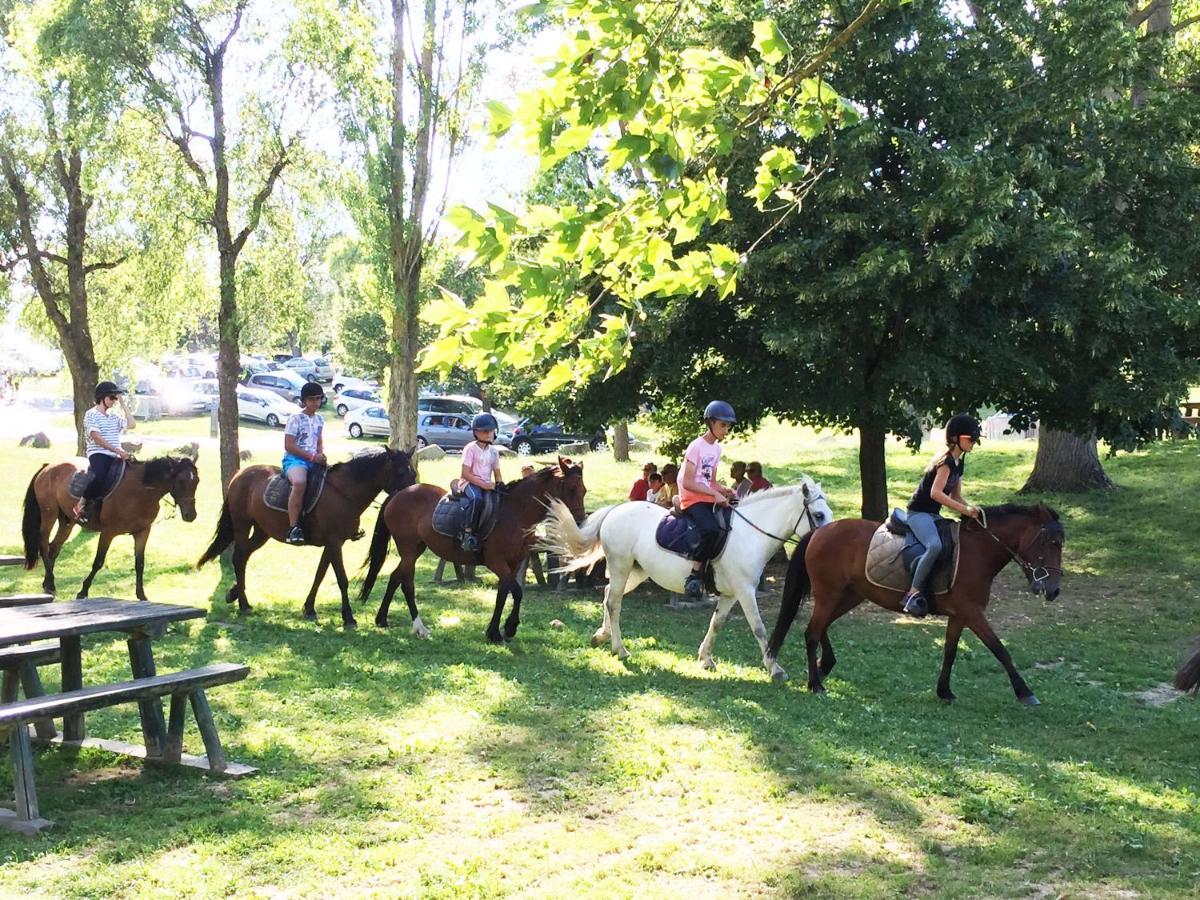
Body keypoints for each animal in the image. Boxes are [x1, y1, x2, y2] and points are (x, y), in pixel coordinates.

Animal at [22, 453, 200, 602]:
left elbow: (140, 563)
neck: (140, 491)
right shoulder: (108, 532)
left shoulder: (142, 532)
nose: (190, 515)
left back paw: (48, 583)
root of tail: (48, 467)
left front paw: (141, 595)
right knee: (44, 544)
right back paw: (51, 583)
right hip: (49, 514)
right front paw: (83, 591)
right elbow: (98, 562)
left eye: (197, 481)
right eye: (181, 481)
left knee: (54, 548)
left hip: (67, 521)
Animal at [198, 448, 417, 628]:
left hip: (262, 532)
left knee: (243, 557)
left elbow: (319, 575)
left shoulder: (333, 543)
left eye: (413, 472)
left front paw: (309, 608)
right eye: (400, 472)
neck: (344, 492)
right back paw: (243, 603)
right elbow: (342, 579)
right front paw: (348, 618)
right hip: (243, 525)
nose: (410, 497)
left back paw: (236, 595)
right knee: (238, 558)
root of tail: (239, 474)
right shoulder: (334, 542)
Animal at [357, 460, 588, 643]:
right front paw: (508, 628)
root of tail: (398, 494)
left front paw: (496, 631)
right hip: (408, 549)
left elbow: (504, 594)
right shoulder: (497, 562)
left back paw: (382, 619)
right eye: (571, 488)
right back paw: (419, 627)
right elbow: (516, 591)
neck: (516, 513)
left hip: (416, 548)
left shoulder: (513, 563)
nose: (580, 522)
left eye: (584, 490)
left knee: (395, 577)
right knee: (407, 583)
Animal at [544, 480, 835, 681]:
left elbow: (716, 623)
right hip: (620, 566)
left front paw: (706, 659)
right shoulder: (745, 591)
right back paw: (620, 649)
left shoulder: (731, 594)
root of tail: (616, 511)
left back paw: (601, 637)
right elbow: (759, 628)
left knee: (607, 596)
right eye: (818, 515)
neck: (750, 534)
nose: (829, 543)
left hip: (635, 572)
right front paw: (775, 668)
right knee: (614, 603)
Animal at [768, 504, 1060, 710]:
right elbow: (1000, 650)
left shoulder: (959, 615)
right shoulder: (972, 612)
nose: (1053, 590)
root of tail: (819, 531)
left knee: (821, 627)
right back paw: (815, 683)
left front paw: (944, 691)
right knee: (812, 632)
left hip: (850, 595)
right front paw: (1025, 693)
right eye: (1052, 542)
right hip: (829, 593)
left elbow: (950, 652)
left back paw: (824, 666)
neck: (978, 551)